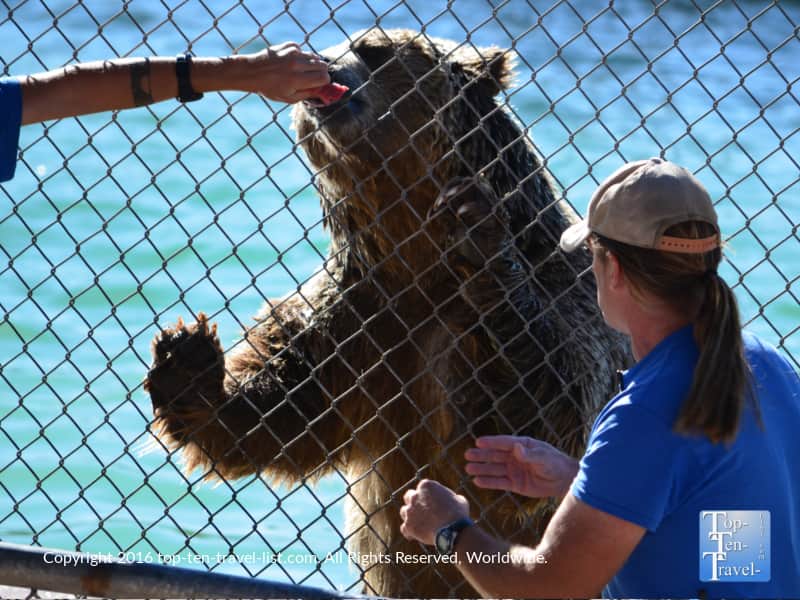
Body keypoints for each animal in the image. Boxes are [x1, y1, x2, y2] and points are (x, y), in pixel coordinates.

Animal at [144, 28, 630, 598]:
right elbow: (282, 407)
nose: (323, 66)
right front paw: (189, 360)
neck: (419, 259)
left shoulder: (569, 296)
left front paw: (480, 235)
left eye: (371, 48)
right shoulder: (360, 317)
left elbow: (549, 425)